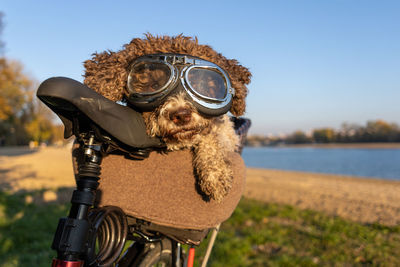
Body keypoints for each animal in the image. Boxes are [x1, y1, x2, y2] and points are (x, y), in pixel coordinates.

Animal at [83, 34, 252, 203]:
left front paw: (216, 174)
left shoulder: (226, 131)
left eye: (202, 86)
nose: (181, 115)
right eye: (153, 85)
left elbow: (212, 136)